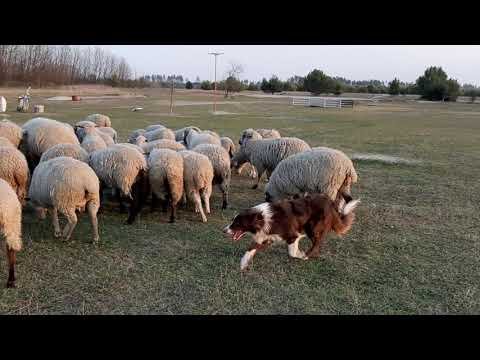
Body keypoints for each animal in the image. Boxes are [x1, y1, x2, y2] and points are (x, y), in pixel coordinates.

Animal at [223, 194, 358, 270]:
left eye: (237, 224)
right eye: (232, 221)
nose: (224, 231)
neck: (262, 218)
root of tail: (331, 204)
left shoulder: (292, 235)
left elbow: (292, 252)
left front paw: (299, 254)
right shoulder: (267, 237)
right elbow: (251, 248)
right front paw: (243, 263)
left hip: (312, 228)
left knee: (317, 244)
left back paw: (307, 256)